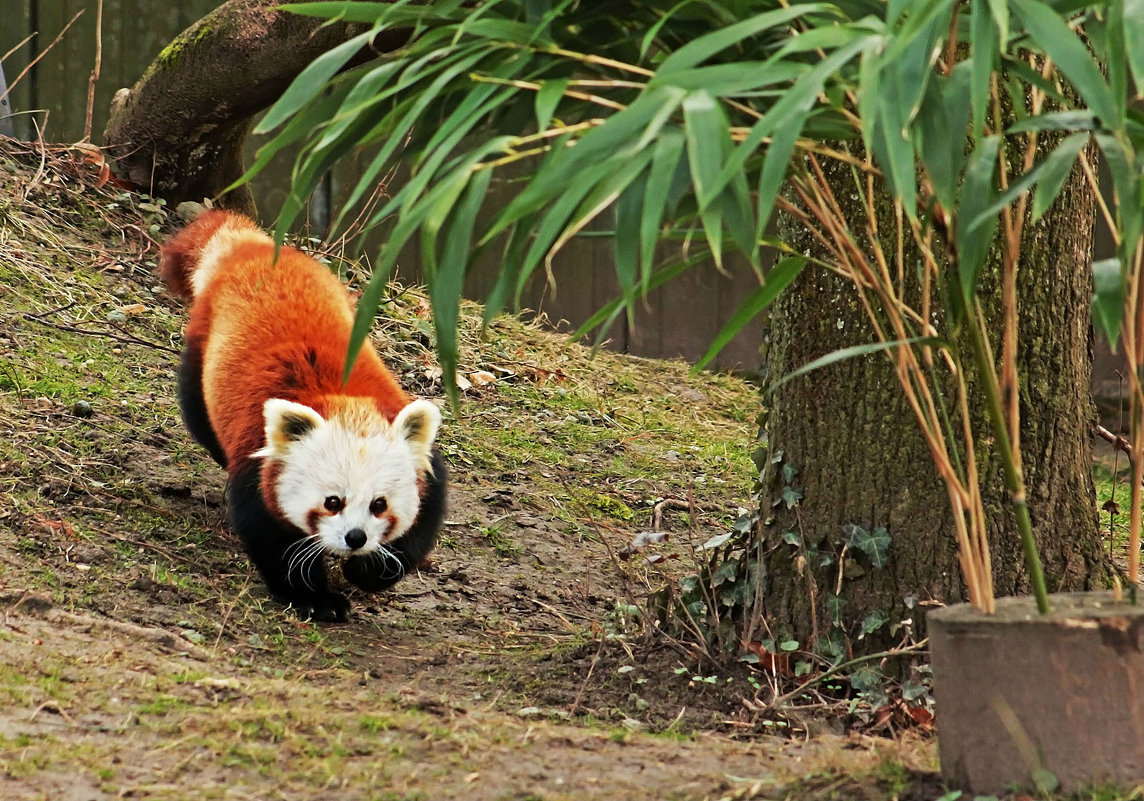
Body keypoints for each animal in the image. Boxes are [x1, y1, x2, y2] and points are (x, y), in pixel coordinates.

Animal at [161, 209, 446, 622]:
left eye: (379, 504)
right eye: (332, 502)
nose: (355, 538)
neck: (339, 399)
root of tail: (253, 250)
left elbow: (421, 520)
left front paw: (369, 570)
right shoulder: (259, 457)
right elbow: (272, 538)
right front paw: (317, 599)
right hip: (201, 348)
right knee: (200, 416)